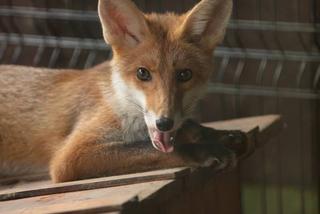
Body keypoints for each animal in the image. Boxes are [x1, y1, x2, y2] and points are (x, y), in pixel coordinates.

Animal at [0, 0, 246, 182]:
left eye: (185, 75)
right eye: (142, 73)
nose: (164, 122)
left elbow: (188, 128)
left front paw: (220, 134)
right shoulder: (71, 156)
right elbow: (158, 149)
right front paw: (205, 149)